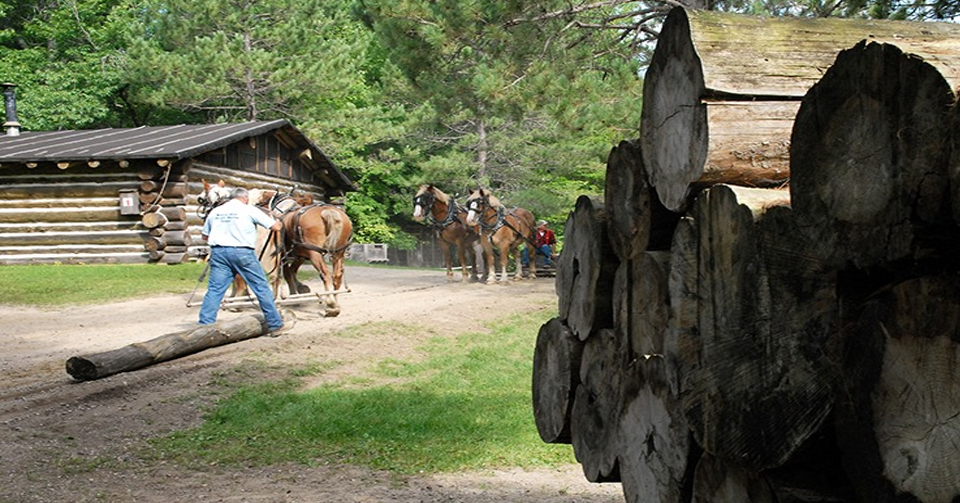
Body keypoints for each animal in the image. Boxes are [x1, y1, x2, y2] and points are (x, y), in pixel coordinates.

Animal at [253, 187, 354, 316]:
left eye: (258, 203)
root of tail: (328, 210)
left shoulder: (284, 256)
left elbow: (287, 274)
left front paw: (294, 295)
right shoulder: (300, 255)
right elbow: (291, 272)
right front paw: (300, 290)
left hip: (315, 254)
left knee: (325, 273)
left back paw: (331, 303)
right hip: (338, 253)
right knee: (337, 276)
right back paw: (335, 302)